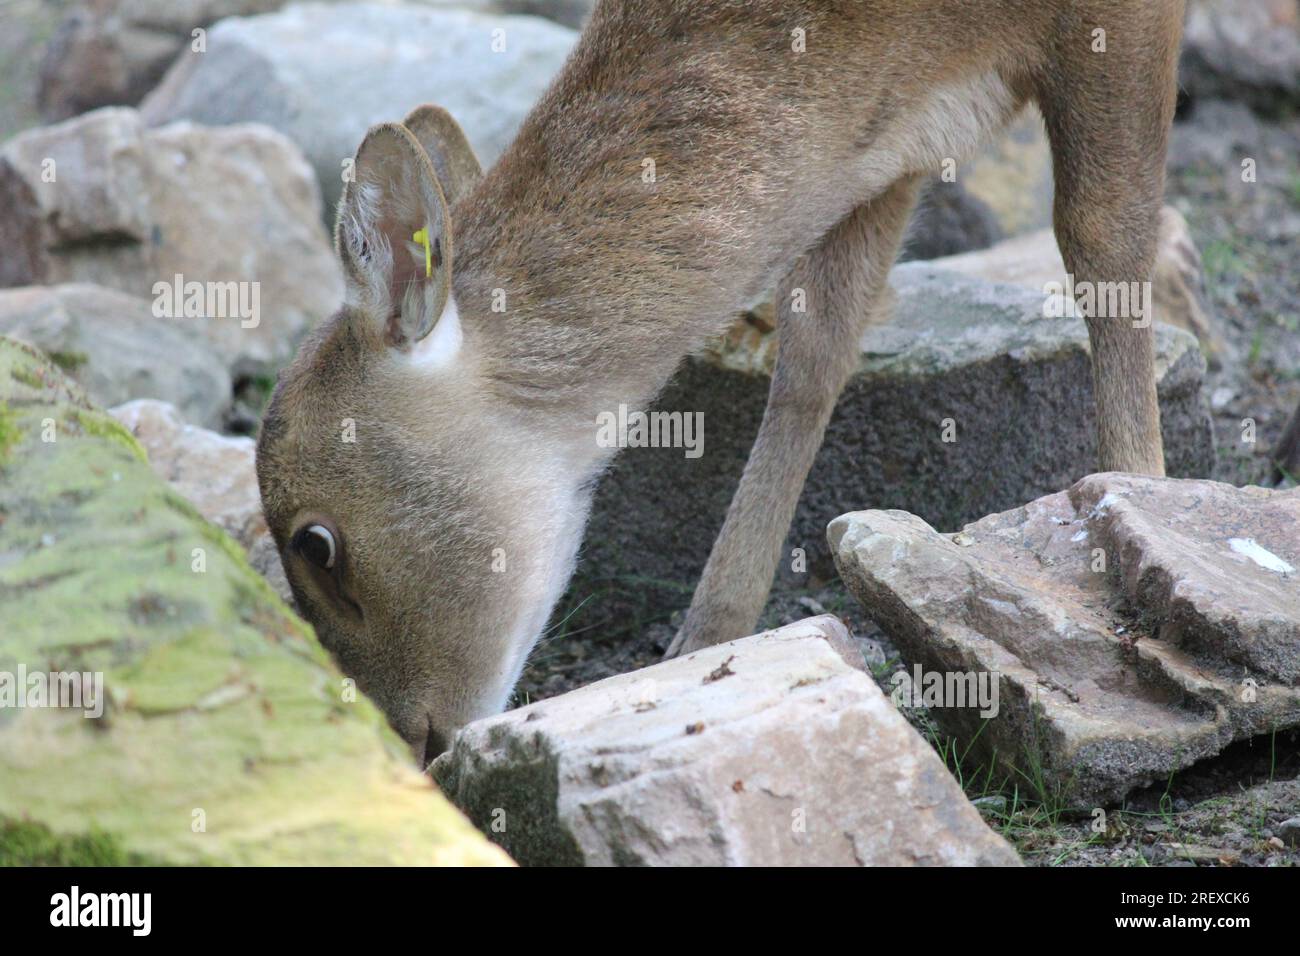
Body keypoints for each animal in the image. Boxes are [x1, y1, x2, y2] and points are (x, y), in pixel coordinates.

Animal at [256, 0, 1185, 766]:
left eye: (316, 542)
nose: (413, 740)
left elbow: (1106, 237)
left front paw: (1140, 499)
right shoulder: (889, 143)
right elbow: (817, 348)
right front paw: (703, 647)